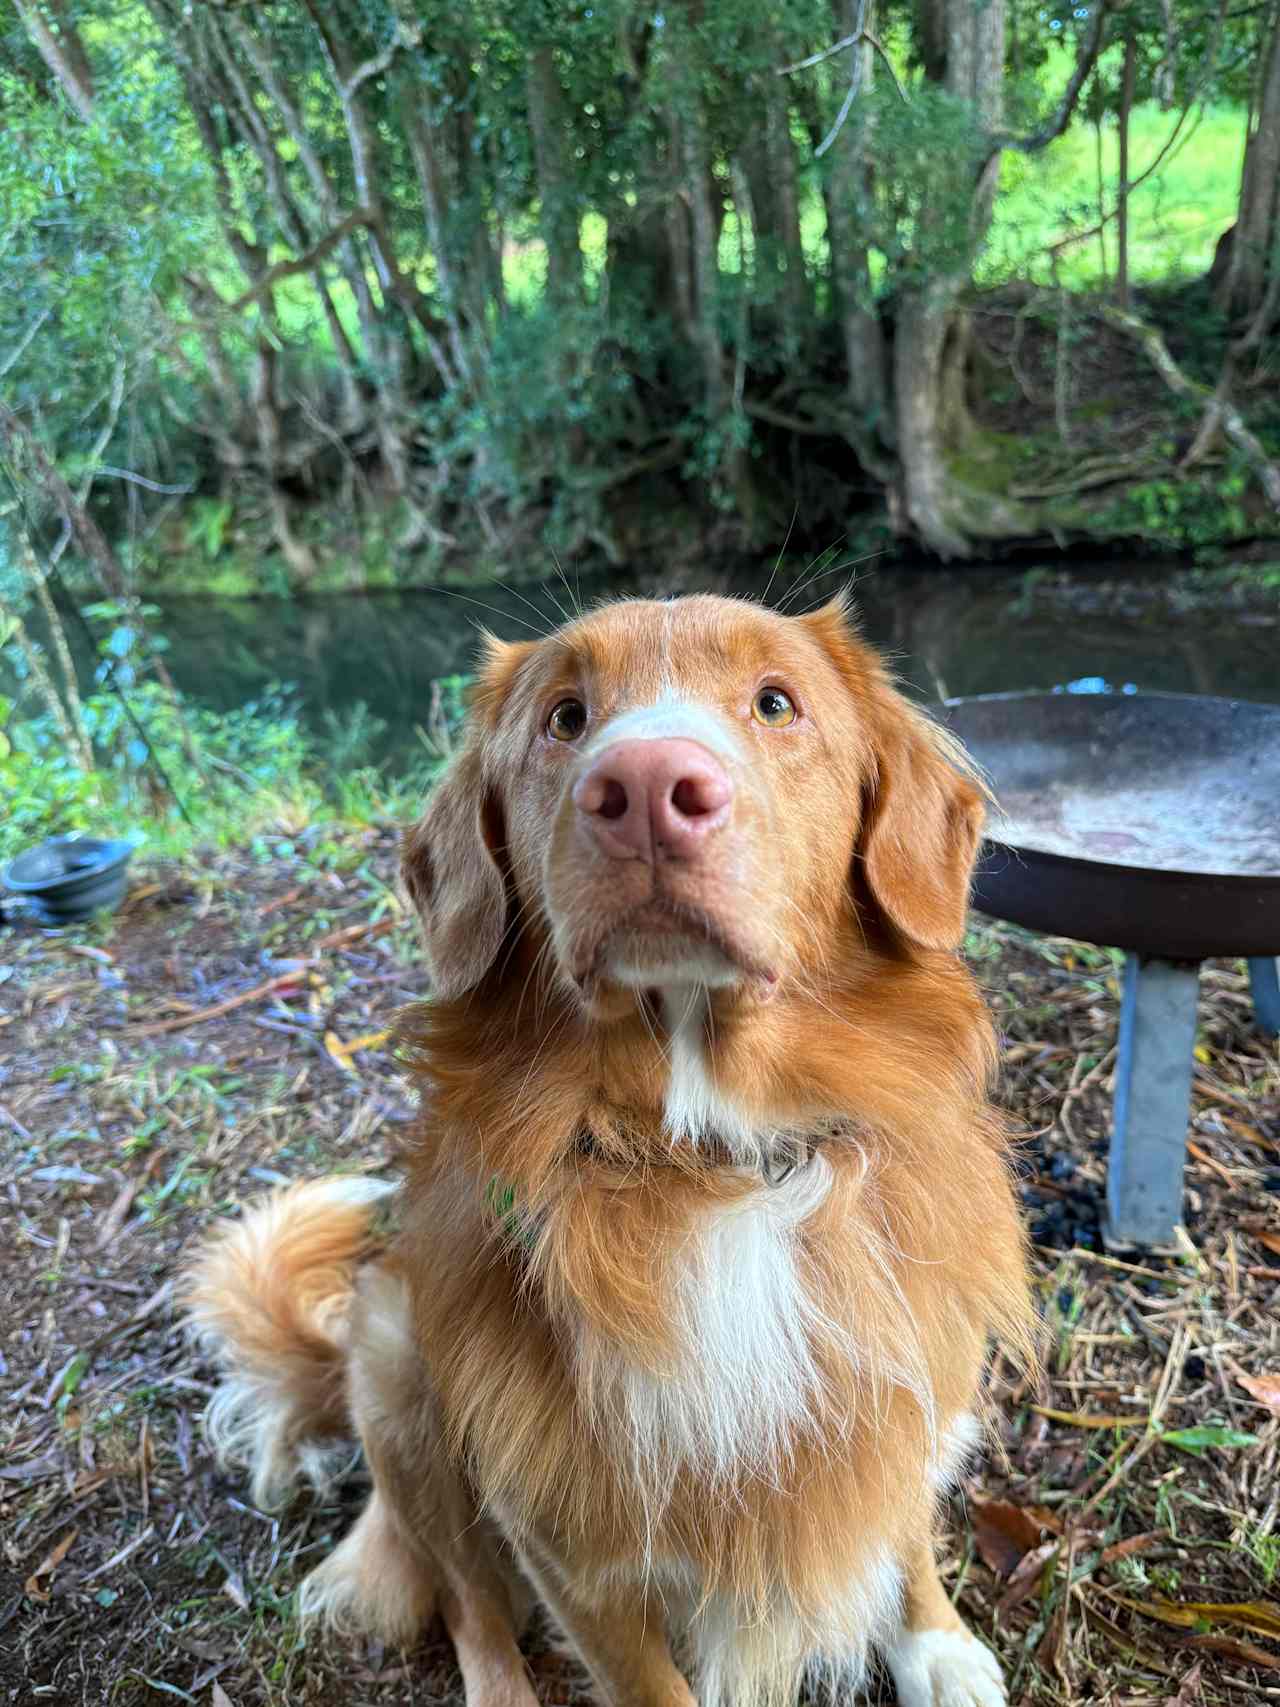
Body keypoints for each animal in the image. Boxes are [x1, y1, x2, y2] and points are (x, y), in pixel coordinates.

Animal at [185, 590, 1037, 1707]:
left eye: (775, 702)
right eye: (564, 718)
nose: (644, 791)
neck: (714, 1161)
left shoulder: (903, 1397)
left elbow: (899, 1522)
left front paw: (932, 1641)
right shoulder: (572, 1550)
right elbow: (639, 1677)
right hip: (402, 1365)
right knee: (470, 1606)